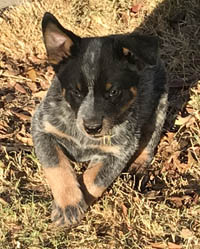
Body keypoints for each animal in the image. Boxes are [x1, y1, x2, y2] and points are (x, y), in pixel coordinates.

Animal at [31, 12, 168, 228]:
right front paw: (68, 205)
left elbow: (94, 179)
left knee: (150, 139)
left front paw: (75, 203)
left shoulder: (118, 152)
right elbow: (56, 165)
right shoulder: (41, 128)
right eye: (76, 91)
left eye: (113, 92)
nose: (92, 127)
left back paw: (138, 165)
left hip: (160, 106)